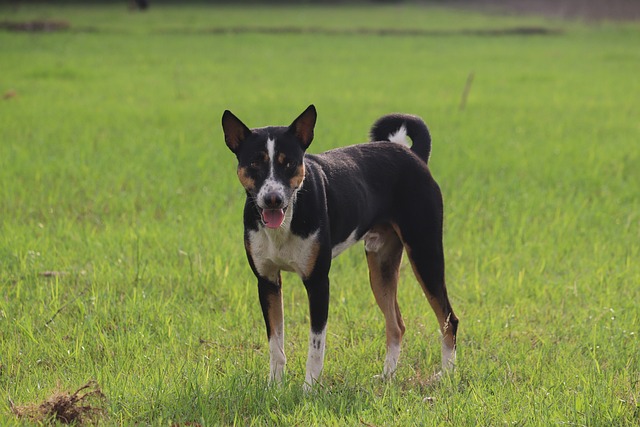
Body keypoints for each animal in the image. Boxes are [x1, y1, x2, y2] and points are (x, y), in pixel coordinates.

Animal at [222, 105, 458, 390]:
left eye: (288, 162)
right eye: (255, 163)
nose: (272, 199)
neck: (288, 218)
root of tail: (414, 156)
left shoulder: (317, 282)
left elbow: (316, 345)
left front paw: (309, 389)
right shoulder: (267, 281)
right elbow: (275, 344)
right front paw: (274, 387)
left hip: (425, 253)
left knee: (448, 319)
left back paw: (446, 375)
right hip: (380, 266)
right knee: (396, 325)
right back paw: (387, 376)